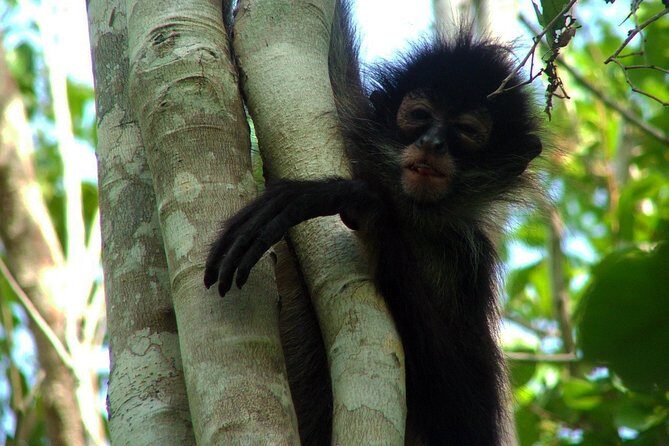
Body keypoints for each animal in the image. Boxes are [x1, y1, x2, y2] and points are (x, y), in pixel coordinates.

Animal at [205, 1, 543, 444]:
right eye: (419, 116)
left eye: (466, 131)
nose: (432, 143)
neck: (407, 210)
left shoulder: (466, 262)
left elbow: (466, 421)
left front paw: (359, 204)